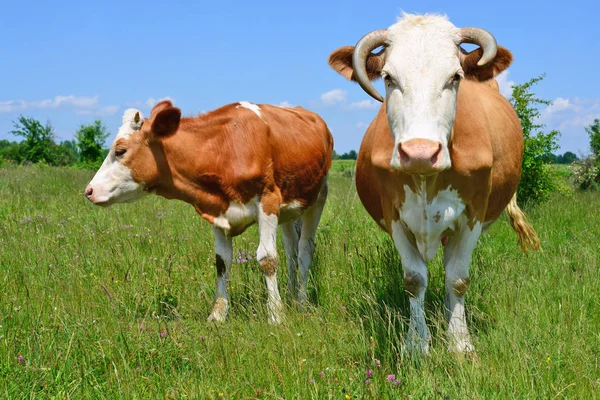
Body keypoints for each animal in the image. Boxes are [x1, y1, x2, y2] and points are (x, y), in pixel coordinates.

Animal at [85, 100, 332, 324]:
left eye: (120, 151)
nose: (89, 191)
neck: (223, 149)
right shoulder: (216, 210)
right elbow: (222, 262)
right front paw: (217, 314)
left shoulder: (268, 200)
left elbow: (267, 259)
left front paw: (275, 315)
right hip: (289, 213)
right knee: (291, 251)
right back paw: (290, 295)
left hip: (318, 199)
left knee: (305, 250)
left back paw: (301, 301)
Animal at [328, 13, 540, 354]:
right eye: (388, 77)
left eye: (455, 77)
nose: (420, 153)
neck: (425, 179)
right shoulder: (394, 216)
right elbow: (415, 280)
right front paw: (417, 344)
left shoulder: (473, 215)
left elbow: (458, 279)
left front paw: (460, 343)